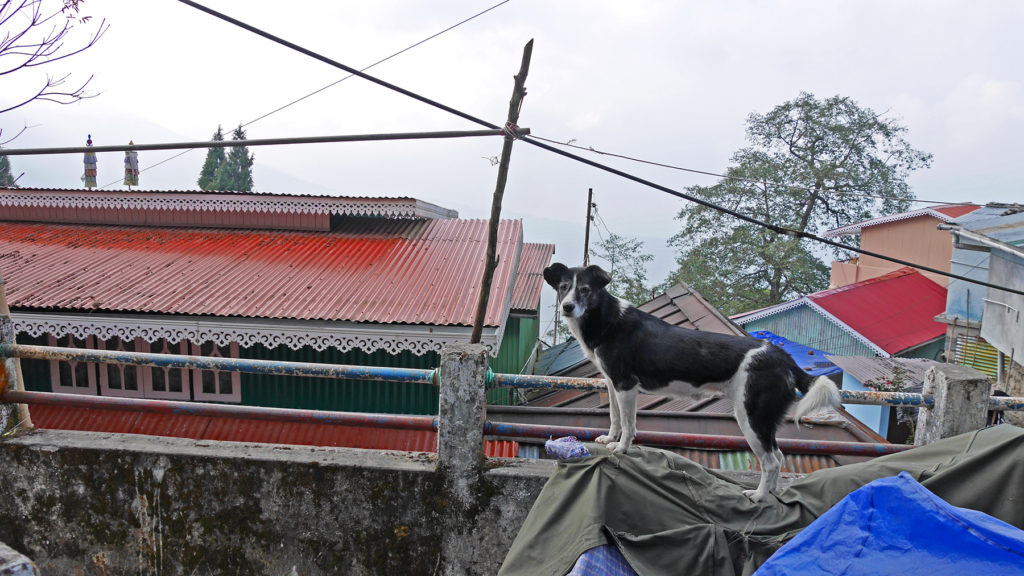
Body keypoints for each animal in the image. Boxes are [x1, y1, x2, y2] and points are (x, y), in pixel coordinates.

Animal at [544, 262, 839, 500]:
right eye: (563, 287)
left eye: (584, 289)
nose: (567, 307)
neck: (606, 318)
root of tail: (782, 356)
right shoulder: (611, 382)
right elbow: (615, 418)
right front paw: (609, 439)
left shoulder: (626, 385)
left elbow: (628, 425)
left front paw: (622, 449)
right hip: (765, 419)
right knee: (779, 456)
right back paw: (774, 493)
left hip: (751, 417)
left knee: (771, 462)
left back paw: (758, 496)